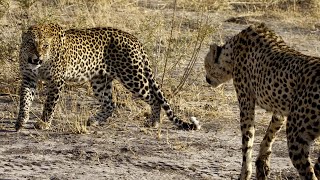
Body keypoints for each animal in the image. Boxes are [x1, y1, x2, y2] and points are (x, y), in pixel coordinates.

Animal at [15, 23, 200, 131]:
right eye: (31, 43)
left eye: (45, 46)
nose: (37, 57)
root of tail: (133, 38)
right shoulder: (29, 78)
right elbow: (24, 101)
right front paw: (21, 121)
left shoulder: (56, 80)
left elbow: (49, 104)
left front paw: (43, 123)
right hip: (100, 80)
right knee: (111, 104)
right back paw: (94, 121)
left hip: (133, 77)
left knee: (154, 98)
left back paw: (153, 122)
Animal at [205, 23, 320, 179]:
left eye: (206, 65)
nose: (206, 79)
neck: (232, 51)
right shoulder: (280, 111)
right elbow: (270, 133)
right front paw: (262, 164)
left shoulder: (246, 102)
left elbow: (247, 141)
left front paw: (245, 173)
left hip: (296, 135)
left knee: (309, 173)